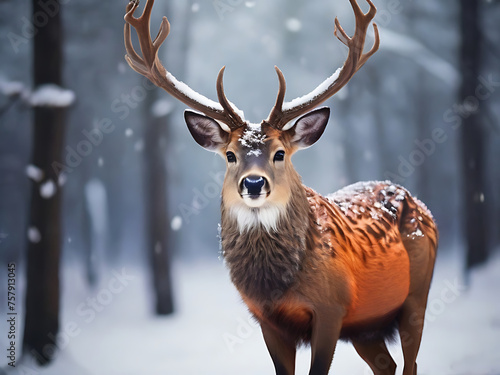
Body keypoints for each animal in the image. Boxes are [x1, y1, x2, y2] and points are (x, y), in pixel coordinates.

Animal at [124, 0, 438, 374]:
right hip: (366, 325)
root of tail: (418, 202)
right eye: (230, 155)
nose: (253, 182)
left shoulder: (331, 309)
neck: (275, 286)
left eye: (280, 153)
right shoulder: (267, 320)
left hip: (417, 296)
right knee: (386, 365)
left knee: (410, 363)